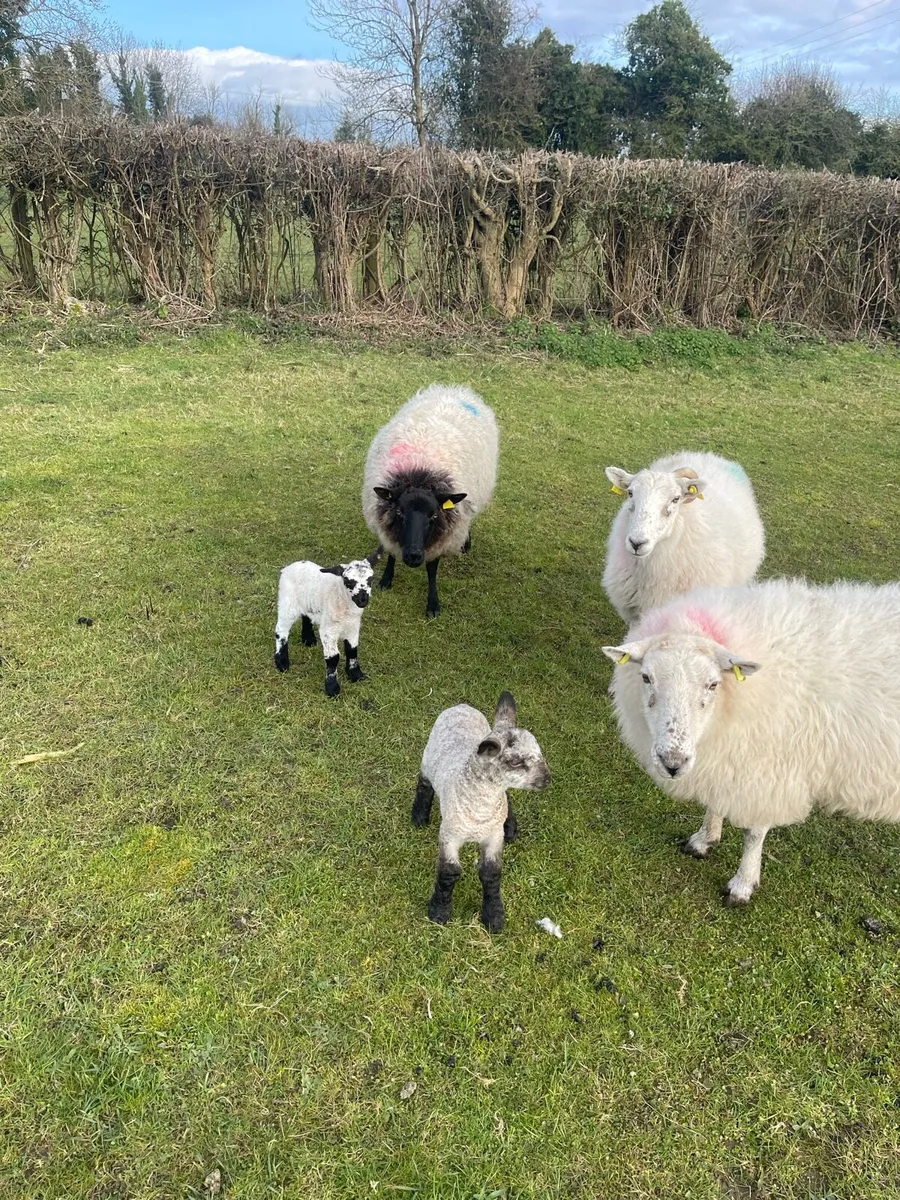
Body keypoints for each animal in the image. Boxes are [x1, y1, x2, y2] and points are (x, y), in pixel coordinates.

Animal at [274, 550, 381, 697]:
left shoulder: (353, 626)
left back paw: (308, 639)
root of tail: (289, 567)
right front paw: (332, 688)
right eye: (348, 581)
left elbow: (352, 650)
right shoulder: (329, 630)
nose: (363, 600)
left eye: (370, 580)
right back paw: (282, 662)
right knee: (281, 630)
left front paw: (355, 674)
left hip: (308, 601)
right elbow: (333, 658)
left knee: (306, 616)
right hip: (288, 602)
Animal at [362, 383, 499, 617]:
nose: (414, 556)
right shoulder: (388, 527)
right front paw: (386, 579)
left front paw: (433, 604)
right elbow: (390, 553)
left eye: (434, 515)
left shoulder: (443, 535)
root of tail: (455, 389)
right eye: (399, 512)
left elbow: (432, 569)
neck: (420, 474)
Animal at [412, 691, 551, 931]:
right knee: (424, 784)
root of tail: (462, 706)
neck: (481, 810)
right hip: (428, 759)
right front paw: (439, 912)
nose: (547, 779)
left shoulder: (494, 836)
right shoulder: (449, 835)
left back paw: (511, 827)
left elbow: (491, 873)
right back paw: (419, 816)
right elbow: (449, 872)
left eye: (539, 753)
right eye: (516, 762)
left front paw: (494, 917)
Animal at [602, 578, 900, 905]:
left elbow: (754, 833)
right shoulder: (729, 754)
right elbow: (716, 799)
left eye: (713, 684)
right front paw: (704, 840)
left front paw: (742, 884)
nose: (673, 763)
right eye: (646, 677)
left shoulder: (768, 771)